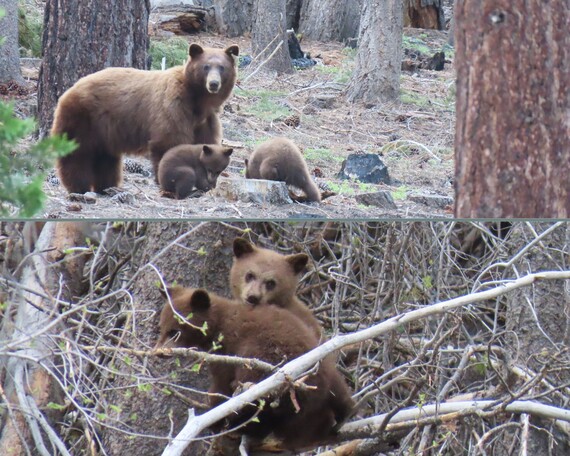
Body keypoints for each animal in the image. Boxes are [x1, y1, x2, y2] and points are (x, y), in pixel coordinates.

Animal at [52, 42, 237, 192]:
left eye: (222, 67)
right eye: (206, 66)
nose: (213, 84)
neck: (197, 101)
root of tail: (69, 90)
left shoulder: (205, 121)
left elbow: (205, 144)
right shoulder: (173, 106)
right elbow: (169, 142)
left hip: (105, 131)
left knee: (105, 158)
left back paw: (107, 186)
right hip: (83, 118)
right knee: (77, 154)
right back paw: (79, 186)